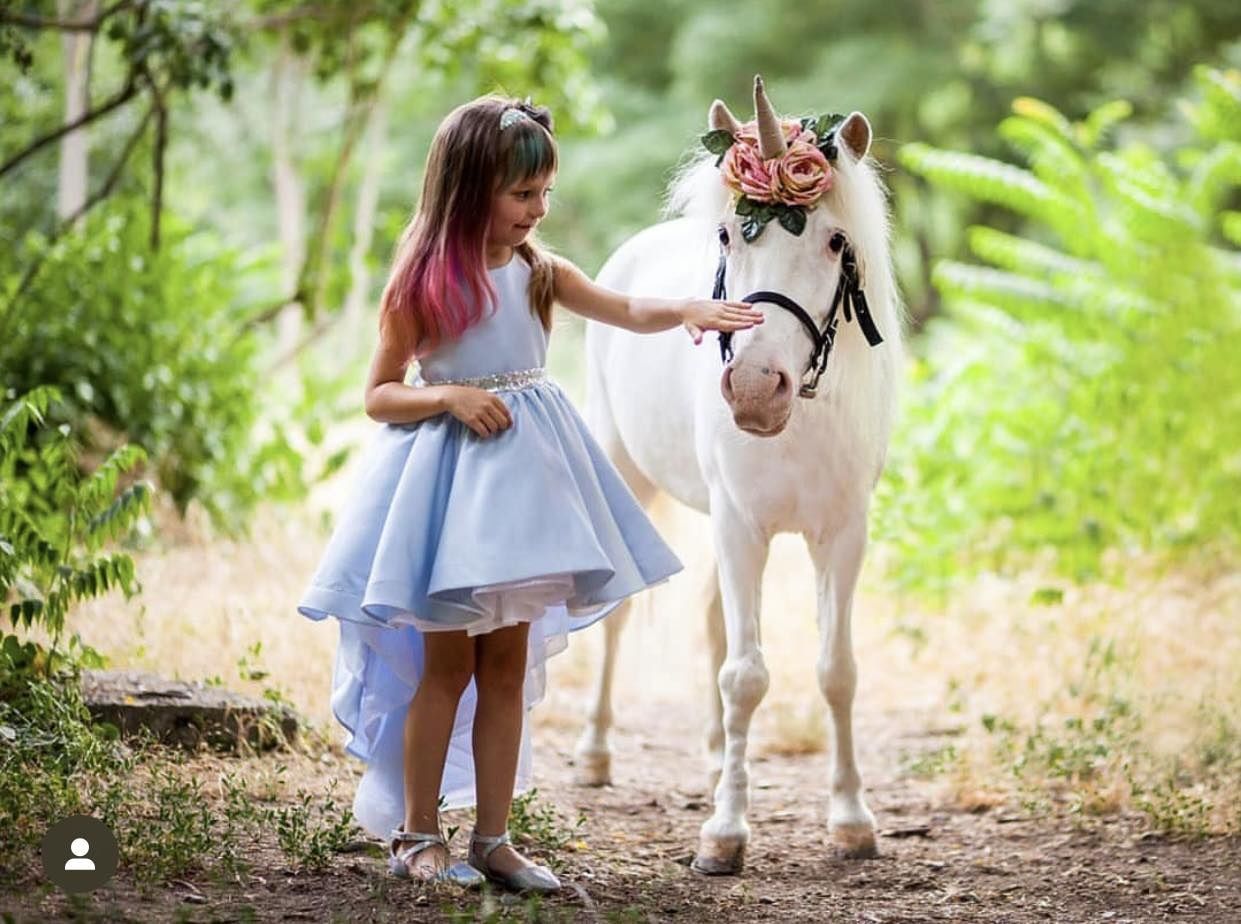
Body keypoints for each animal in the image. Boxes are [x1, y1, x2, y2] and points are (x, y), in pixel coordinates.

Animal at [570, 73, 903, 873]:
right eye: (727, 236)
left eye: (836, 241)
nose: (754, 388)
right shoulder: (740, 526)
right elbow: (745, 675)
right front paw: (724, 832)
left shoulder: (842, 534)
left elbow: (835, 670)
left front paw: (851, 820)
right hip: (631, 475)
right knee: (623, 616)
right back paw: (595, 753)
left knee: (715, 621)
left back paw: (719, 755)